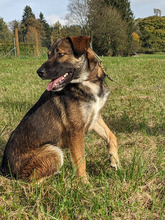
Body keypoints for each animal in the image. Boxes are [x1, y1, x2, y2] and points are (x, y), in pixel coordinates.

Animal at [0, 36, 120, 183]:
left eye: (61, 54)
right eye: (48, 55)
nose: (39, 72)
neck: (88, 82)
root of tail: (5, 170)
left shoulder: (95, 117)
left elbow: (111, 136)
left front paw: (115, 161)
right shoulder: (76, 130)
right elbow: (80, 160)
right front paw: (85, 184)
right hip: (53, 151)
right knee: (32, 181)